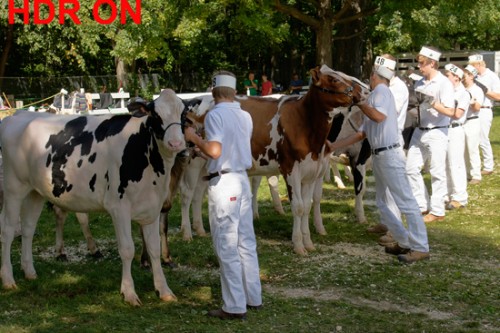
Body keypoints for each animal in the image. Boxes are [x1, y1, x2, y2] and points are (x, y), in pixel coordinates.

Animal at [0, 87, 193, 304]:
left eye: (183, 116)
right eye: (155, 115)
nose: (176, 143)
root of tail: (17, 116)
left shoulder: (152, 206)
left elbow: (154, 249)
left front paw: (164, 290)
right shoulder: (118, 207)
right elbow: (127, 249)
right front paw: (129, 292)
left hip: (35, 192)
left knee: (28, 229)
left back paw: (29, 272)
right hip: (13, 188)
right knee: (7, 230)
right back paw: (8, 279)